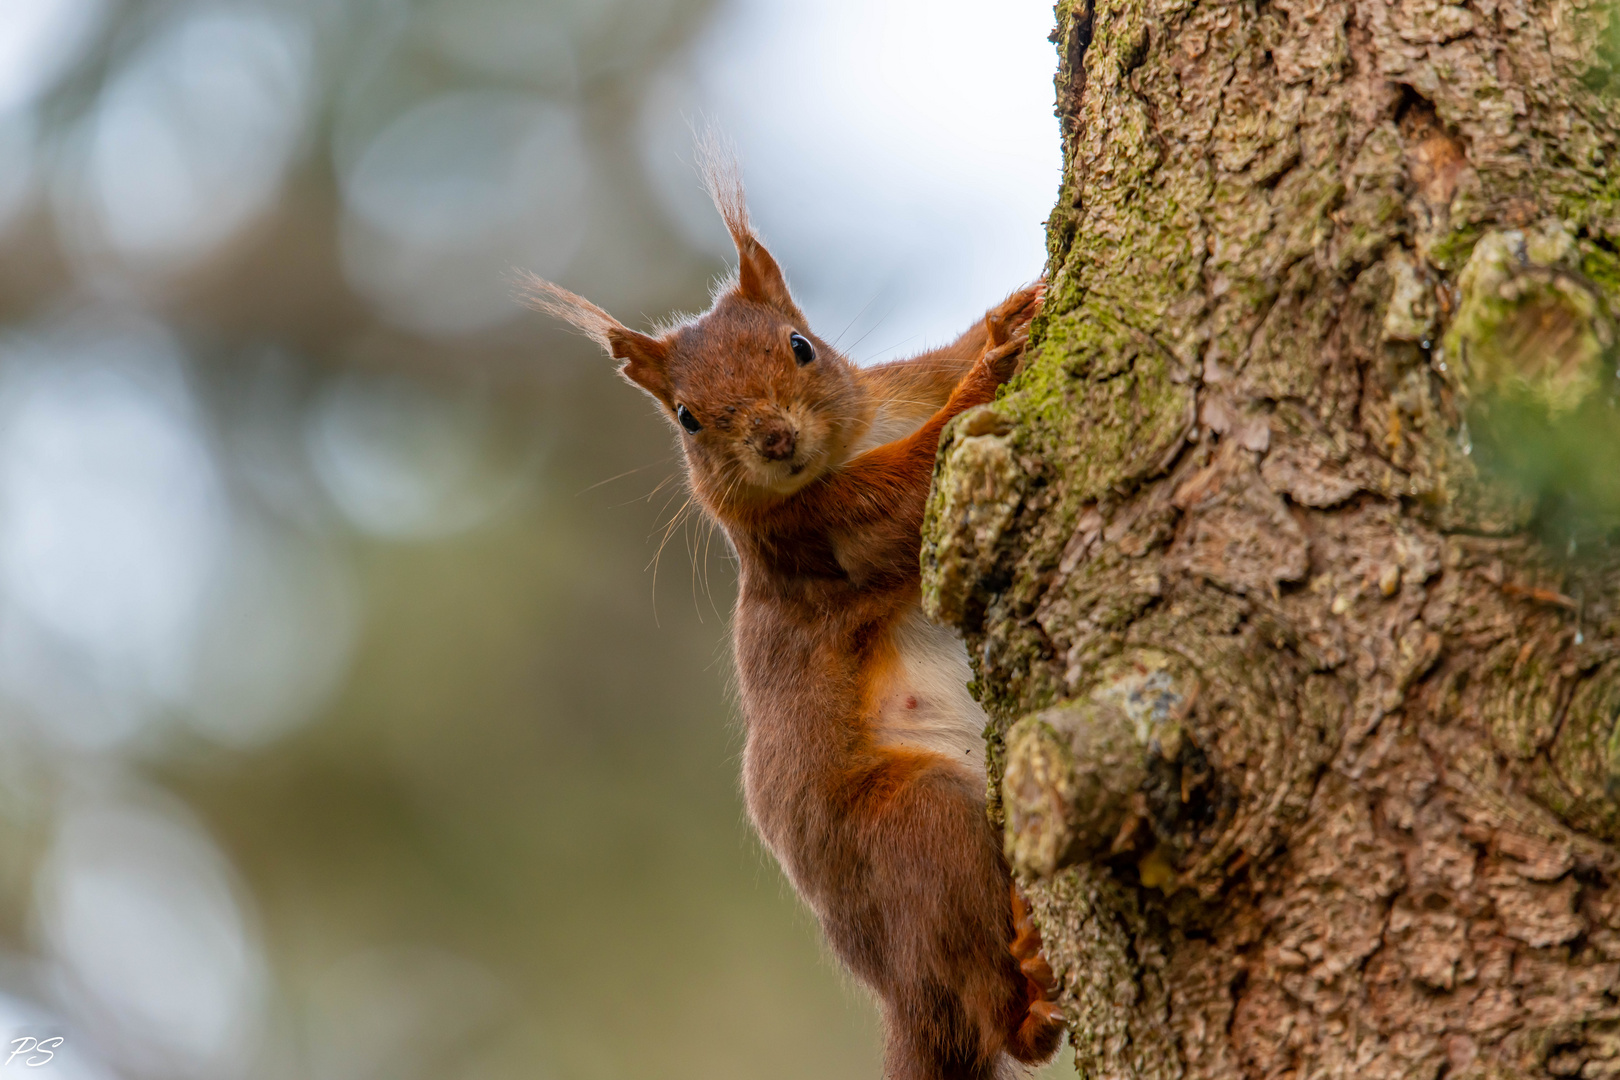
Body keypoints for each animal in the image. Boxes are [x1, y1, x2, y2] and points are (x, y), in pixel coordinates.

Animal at [524, 156, 1069, 1075]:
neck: (852, 442)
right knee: (989, 1010)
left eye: (800, 346)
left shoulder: (899, 387)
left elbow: (942, 367)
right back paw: (1026, 991)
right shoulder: (822, 538)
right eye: (686, 417)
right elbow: (918, 481)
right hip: (919, 827)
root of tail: (899, 994)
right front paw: (994, 365)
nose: (775, 439)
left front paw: (1015, 308)